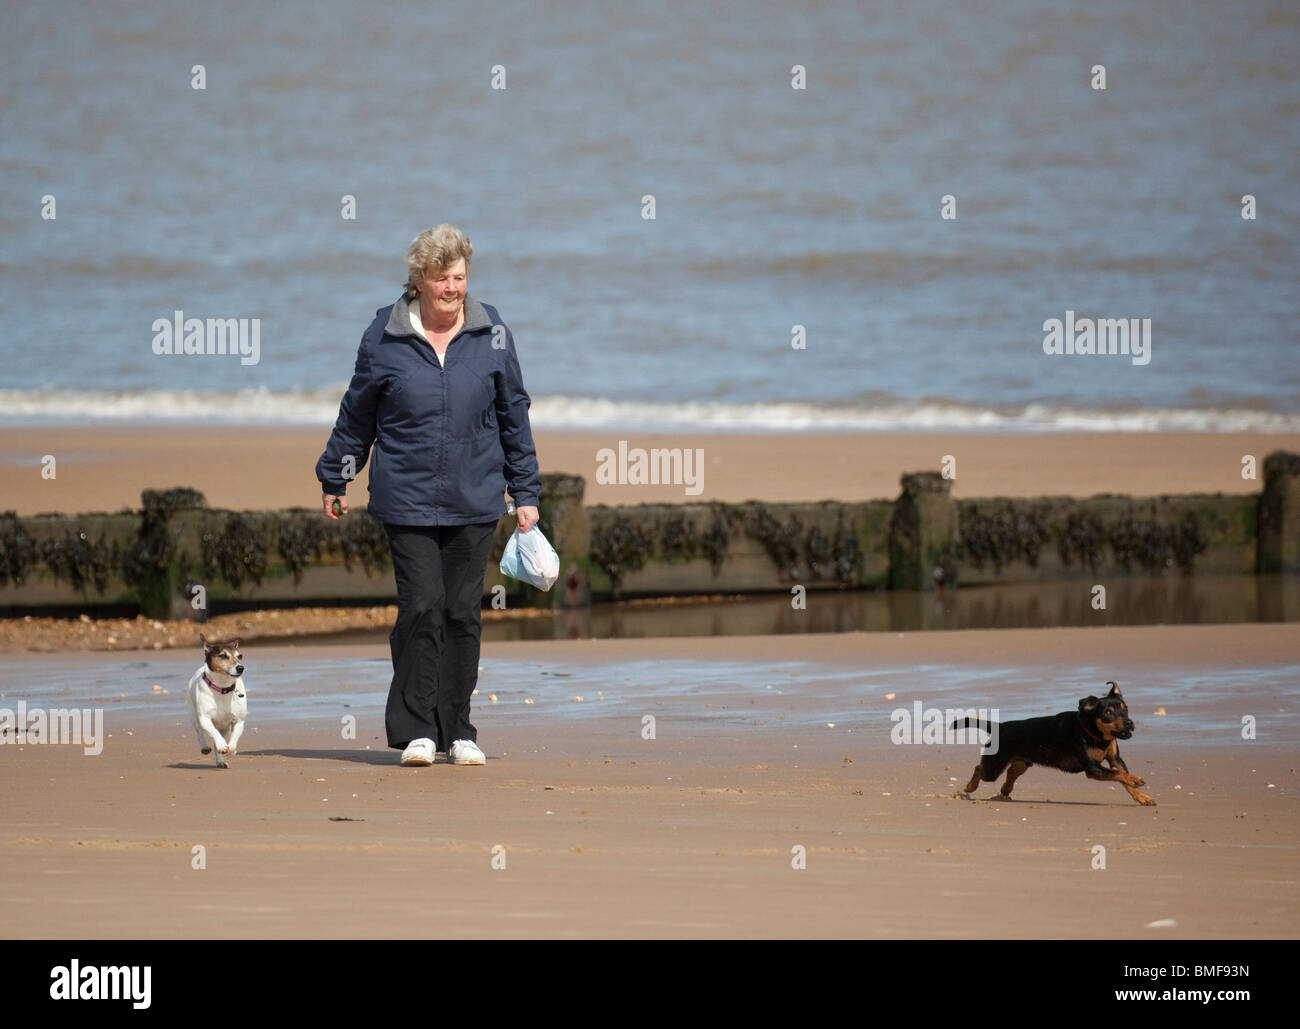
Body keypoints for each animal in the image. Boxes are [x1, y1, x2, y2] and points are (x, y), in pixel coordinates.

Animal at [188, 631, 248, 769]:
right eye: (223, 656)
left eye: (240, 656)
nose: (240, 668)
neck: (222, 687)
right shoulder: (205, 718)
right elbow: (214, 732)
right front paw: (221, 745)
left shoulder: (239, 720)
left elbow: (234, 736)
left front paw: (231, 749)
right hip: (194, 716)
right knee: (200, 733)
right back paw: (205, 747)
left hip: (224, 728)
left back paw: (221, 761)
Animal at [951, 680, 1154, 805]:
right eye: (1108, 713)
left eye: (1125, 709)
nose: (1129, 723)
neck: (1093, 733)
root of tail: (1000, 726)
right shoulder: (1092, 768)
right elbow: (1118, 774)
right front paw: (1136, 779)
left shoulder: (1115, 759)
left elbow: (1122, 775)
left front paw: (1143, 797)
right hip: (994, 765)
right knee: (980, 769)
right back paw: (970, 787)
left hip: (1022, 762)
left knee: (1012, 772)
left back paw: (1006, 790)